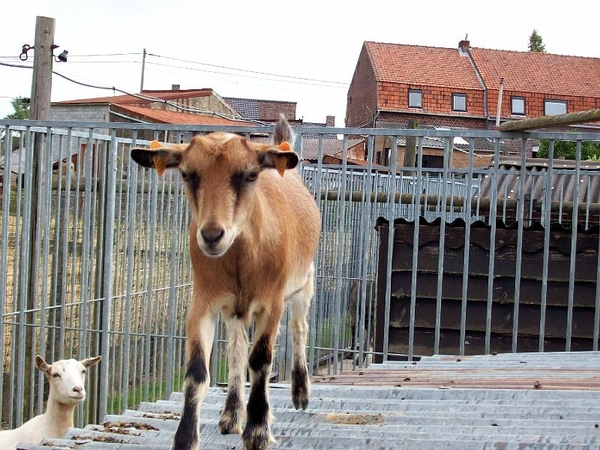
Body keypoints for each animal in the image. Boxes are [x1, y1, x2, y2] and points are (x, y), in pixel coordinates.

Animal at [129, 115, 322, 450]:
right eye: (188, 174)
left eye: (248, 175)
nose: (211, 235)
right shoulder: (203, 302)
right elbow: (197, 371)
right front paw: (185, 439)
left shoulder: (271, 303)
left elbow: (261, 361)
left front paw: (257, 430)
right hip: (234, 309)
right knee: (236, 347)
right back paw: (231, 415)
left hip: (303, 282)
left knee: (299, 327)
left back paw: (300, 392)